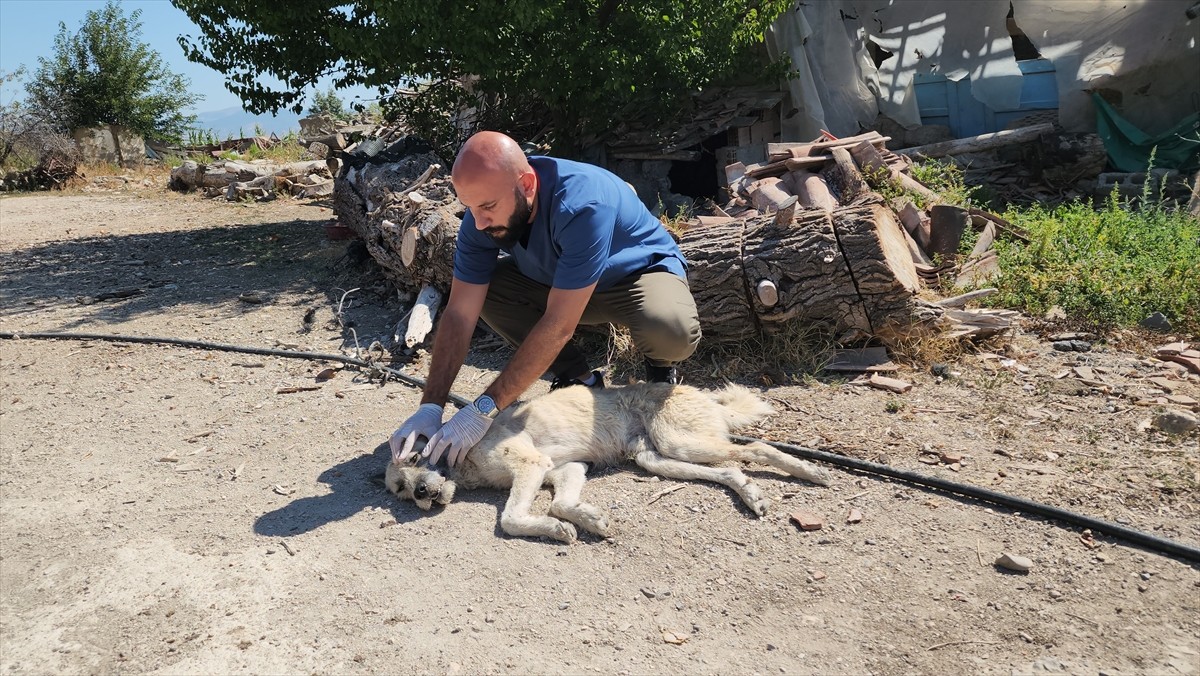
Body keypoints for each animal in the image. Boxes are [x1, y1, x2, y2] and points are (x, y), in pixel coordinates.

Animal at [388, 381, 830, 545]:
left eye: (416, 455)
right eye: (400, 490)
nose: (422, 493)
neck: (466, 466)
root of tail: (699, 393)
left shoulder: (532, 464)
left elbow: (511, 518)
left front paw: (555, 528)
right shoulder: (565, 469)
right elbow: (560, 502)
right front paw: (584, 520)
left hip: (679, 442)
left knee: (756, 447)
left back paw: (811, 471)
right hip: (660, 459)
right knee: (730, 469)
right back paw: (751, 493)